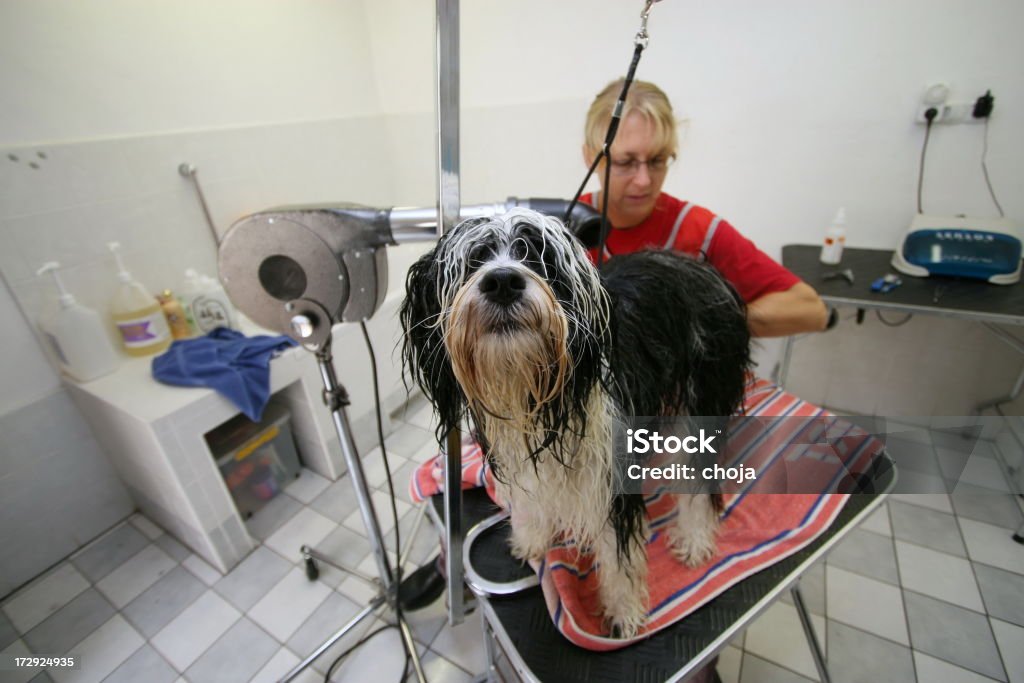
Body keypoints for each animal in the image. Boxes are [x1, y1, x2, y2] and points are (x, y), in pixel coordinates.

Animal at [401, 208, 753, 634]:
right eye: (475, 260)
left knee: (700, 482)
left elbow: (619, 556)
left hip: (703, 396)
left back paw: (694, 539)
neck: (538, 390)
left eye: (538, 258)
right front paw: (532, 539)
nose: (502, 281)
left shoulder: (611, 473)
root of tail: (703, 269)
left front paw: (623, 611)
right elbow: (531, 502)